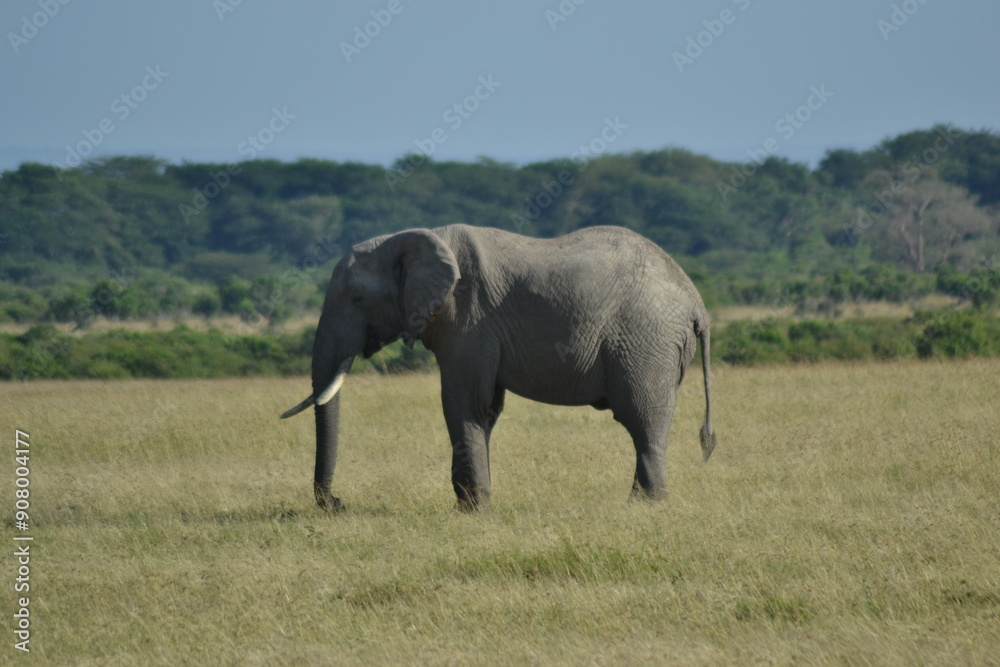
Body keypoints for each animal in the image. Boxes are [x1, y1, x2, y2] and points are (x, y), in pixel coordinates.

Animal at [281, 224, 716, 511]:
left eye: (357, 299)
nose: (337, 502)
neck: (417, 238)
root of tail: (697, 303)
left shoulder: (469, 319)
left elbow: (463, 402)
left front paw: (471, 509)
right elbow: (486, 408)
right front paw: (472, 504)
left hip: (646, 341)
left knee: (641, 419)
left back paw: (643, 506)